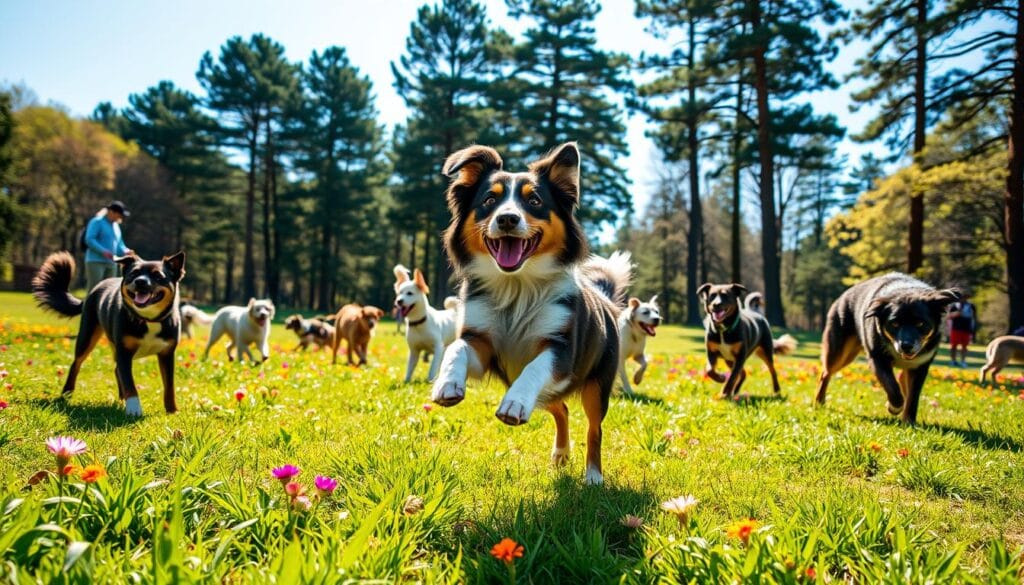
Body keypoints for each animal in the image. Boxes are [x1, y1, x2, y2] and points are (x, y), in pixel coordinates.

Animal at [31, 251, 188, 415]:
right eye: (134, 274)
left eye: (158, 276)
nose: (140, 282)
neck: (148, 319)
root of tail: (94, 289)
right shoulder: (124, 352)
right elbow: (129, 382)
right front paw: (134, 408)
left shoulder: (167, 353)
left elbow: (169, 385)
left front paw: (172, 410)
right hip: (87, 336)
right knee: (76, 364)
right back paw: (67, 393)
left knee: (116, 370)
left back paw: (121, 398)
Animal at [425, 142, 630, 485]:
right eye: (489, 200)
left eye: (534, 200)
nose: (507, 219)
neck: (517, 287)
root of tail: (605, 299)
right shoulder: (482, 342)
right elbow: (457, 347)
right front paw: (448, 383)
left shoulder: (561, 350)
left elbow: (534, 368)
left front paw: (514, 403)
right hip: (553, 393)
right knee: (561, 410)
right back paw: (560, 455)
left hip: (597, 384)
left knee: (594, 428)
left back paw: (593, 475)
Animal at [815, 274, 958, 426]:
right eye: (894, 323)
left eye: (920, 323)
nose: (906, 345)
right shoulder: (877, 359)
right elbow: (892, 387)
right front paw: (894, 407)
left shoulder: (920, 365)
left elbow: (913, 396)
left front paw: (909, 421)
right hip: (840, 352)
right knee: (826, 373)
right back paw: (819, 402)